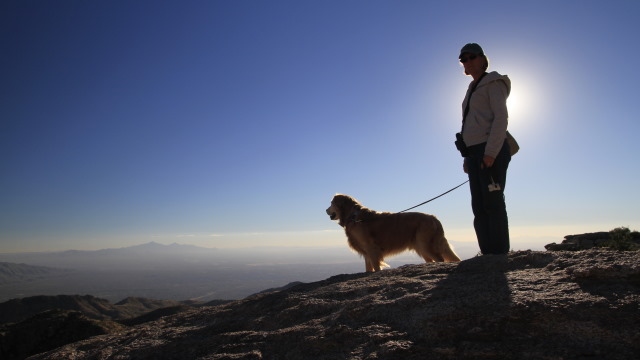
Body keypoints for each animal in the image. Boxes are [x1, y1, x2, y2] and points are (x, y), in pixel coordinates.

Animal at [324, 195, 460, 272]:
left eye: (331, 203)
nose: (325, 210)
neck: (354, 216)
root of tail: (434, 217)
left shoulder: (372, 249)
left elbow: (376, 267)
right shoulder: (367, 252)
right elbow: (368, 269)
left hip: (424, 244)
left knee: (440, 258)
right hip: (421, 247)